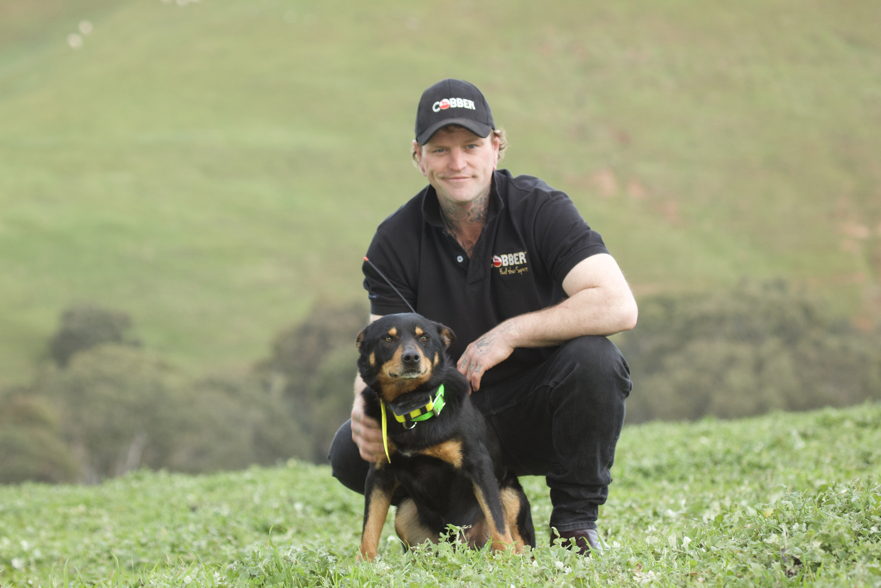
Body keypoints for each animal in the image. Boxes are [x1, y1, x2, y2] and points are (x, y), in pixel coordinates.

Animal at [355, 313, 535, 561]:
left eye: (424, 337)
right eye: (388, 338)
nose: (411, 357)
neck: (412, 407)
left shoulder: (478, 465)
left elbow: (497, 521)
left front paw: (505, 561)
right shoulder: (379, 472)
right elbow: (369, 527)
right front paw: (364, 563)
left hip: (511, 496)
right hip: (405, 512)